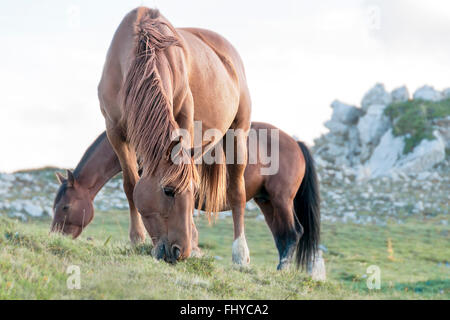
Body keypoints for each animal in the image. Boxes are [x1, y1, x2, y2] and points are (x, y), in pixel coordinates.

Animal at [51, 122, 320, 270]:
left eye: (65, 207)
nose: (55, 237)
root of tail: (296, 143)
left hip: (281, 199)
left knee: (293, 233)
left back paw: (282, 269)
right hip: (266, 201)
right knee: (283, 236)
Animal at [96, 7, 251, 262]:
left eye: (193, 192)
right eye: (168, 191)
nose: (180, 251)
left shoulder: (184, 118)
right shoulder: (115, 132)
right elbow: (130, 184)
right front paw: (136, 238)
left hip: (238, 134)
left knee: (237, 192)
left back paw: (240, 254)